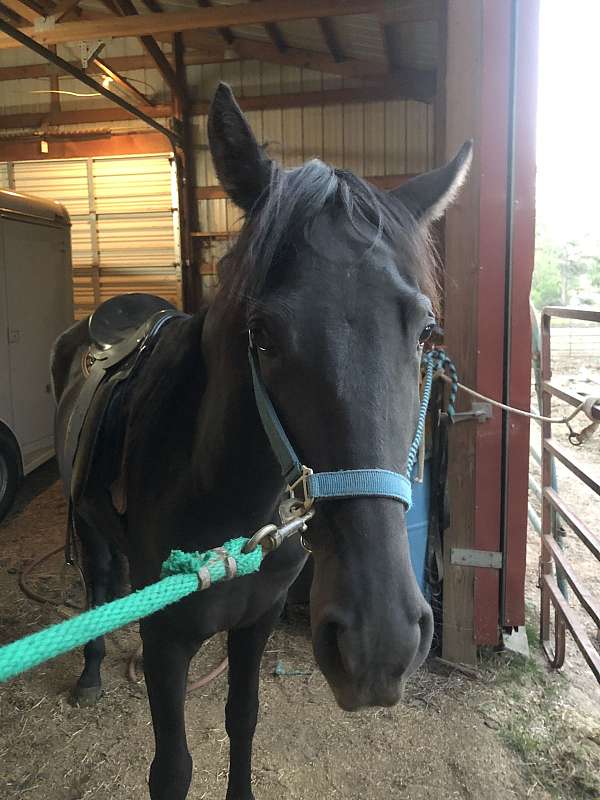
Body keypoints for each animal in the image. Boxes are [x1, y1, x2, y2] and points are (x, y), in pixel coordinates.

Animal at [51, 83, 472, 800]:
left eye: (425, 333)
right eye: (264, 334)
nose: (380, 643)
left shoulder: (259, 619)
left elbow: (242, 718)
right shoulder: (167, 641)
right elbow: (172, 769)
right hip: (86, 524)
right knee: (100, 586)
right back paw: (91, 671)